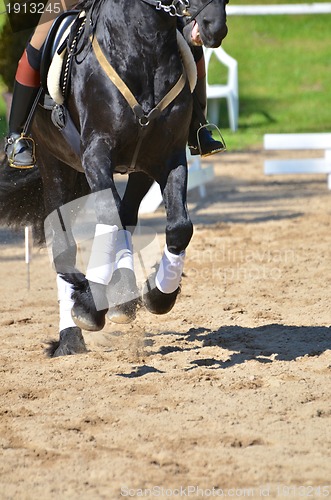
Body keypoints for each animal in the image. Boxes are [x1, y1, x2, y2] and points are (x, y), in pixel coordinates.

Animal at [0, 0, 228, 358]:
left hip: (138, 170)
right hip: (54, 164)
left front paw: (157, 294)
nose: (213, 26)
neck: (144, 49)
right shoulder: (96, 153)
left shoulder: (167, 158)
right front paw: (91, 306)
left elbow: (178, 227)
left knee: (127, 214)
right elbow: (109, 218)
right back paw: (70, 337)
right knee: (65, 241)